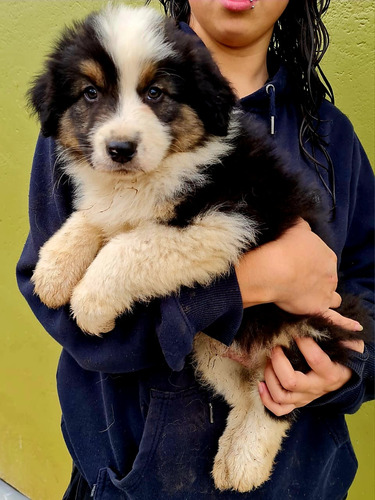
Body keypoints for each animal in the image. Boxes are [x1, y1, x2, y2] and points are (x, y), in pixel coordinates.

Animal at [29, 4, 370, 492]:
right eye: (90, 93)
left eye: (155, 93)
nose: (119, 148)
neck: (155, 173)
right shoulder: (119, 203)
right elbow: (92, 219)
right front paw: (53, 273)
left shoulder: (229, 221)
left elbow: (131, 246)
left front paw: (91, 305)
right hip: (211, 349)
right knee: (250, 393)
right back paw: (231, 459)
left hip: (309, 333)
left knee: (278, 403)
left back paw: (245, 464)